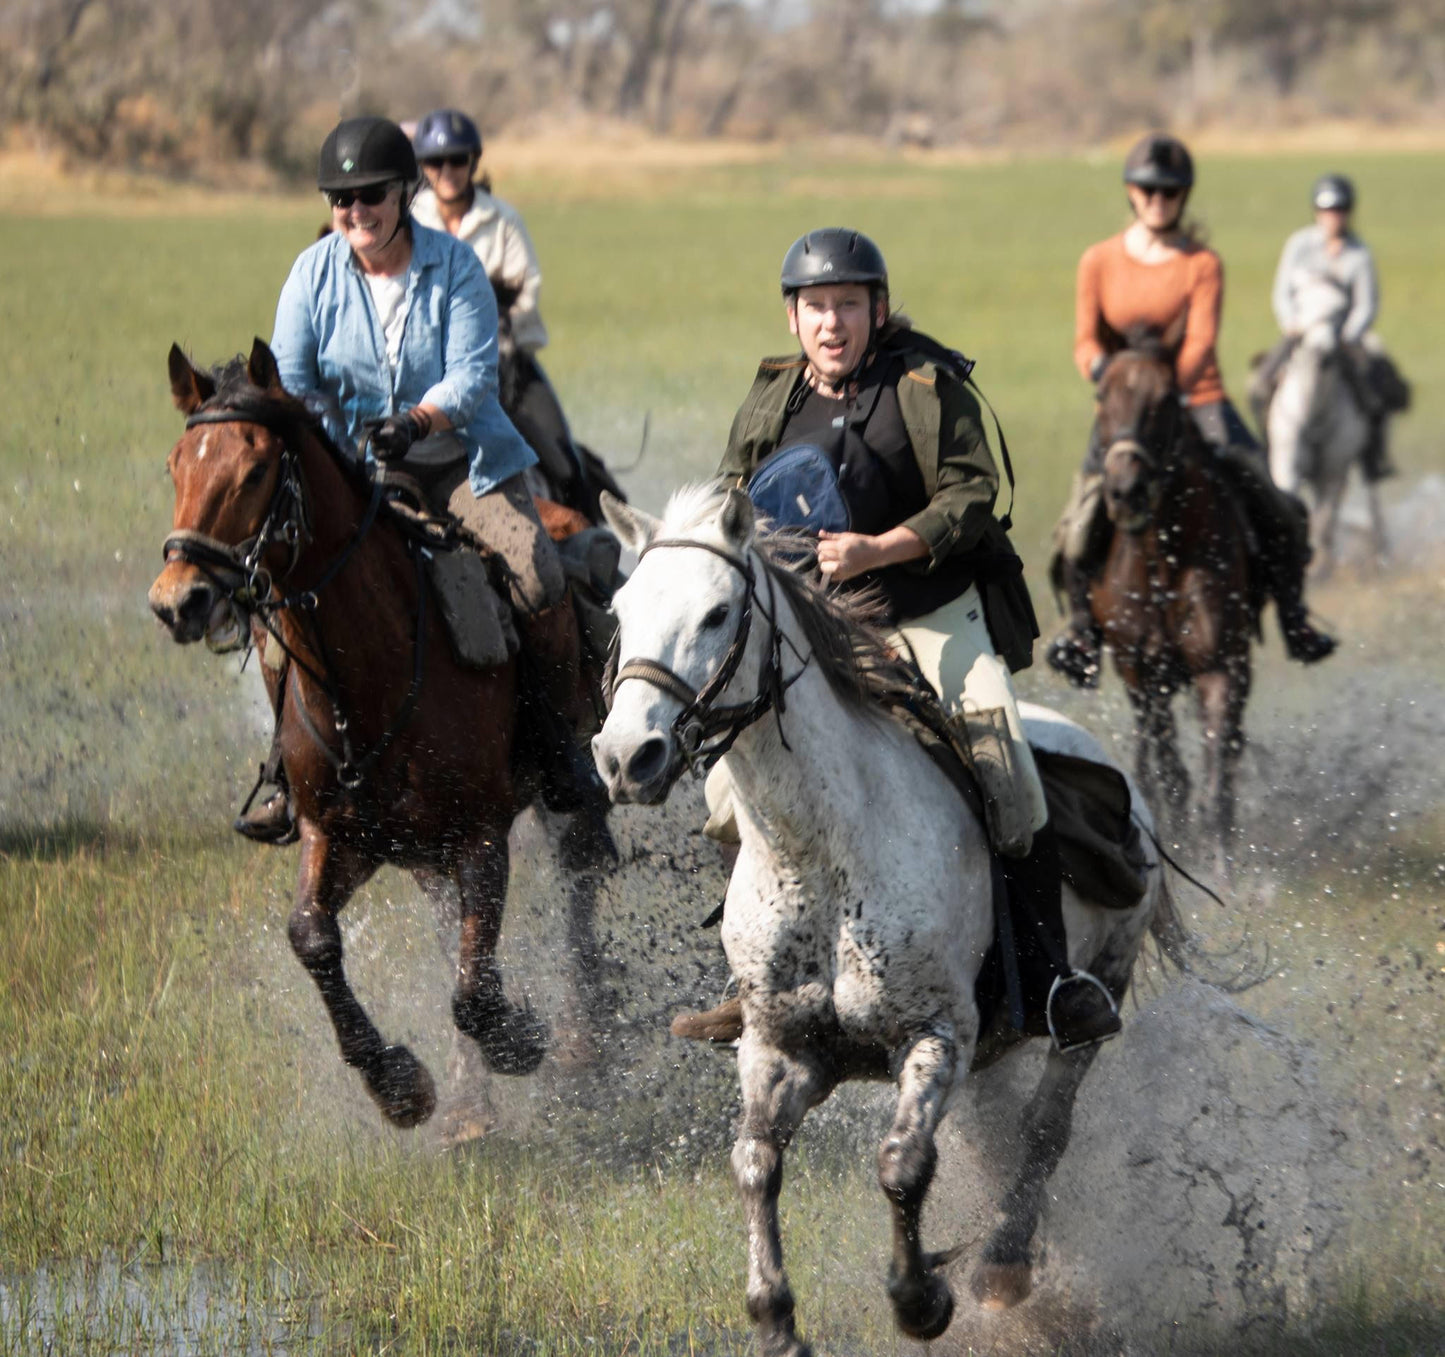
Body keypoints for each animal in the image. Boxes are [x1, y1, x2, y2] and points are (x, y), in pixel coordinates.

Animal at [151, 342, 615, 1133]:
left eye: (255, 469)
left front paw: (520, 1038)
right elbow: (312, 935)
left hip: (561, 783)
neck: (368, 680)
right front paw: (399, 1085)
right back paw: (470, 1100)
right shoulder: (339, 836)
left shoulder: (479, 834)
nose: (178, 600)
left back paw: (584, 1039)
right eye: (177, 464)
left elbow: (472, 990)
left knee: (577, 873)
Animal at [592, 488, 1179, 1357]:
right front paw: (774, 1321)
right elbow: (753, 1159)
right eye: (622, 609)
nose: (626, 756)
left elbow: (902, 1161)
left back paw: (1003, 1264)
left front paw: (919, 1299)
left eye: (717, 612)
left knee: (1045, 1126)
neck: (821, 851)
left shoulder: (932, 1033)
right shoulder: (783, 1045)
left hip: (1092, 994)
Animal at [1086, 339, 1254, 855]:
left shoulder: (1219, 667)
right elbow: (1169, 774)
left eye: (1165, 401)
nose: (1126, 491)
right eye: (1101, 396)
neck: (1163, 560)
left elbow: (1216, 791)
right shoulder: (1145, 675)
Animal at [1271, 276, 1381, 572]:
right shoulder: (1287, 466)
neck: (1313, 410)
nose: (1323, 350)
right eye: (1300, 304)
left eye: (1339, 310)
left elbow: (1324, 521)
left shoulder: (1332, 472)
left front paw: (1321, 568)